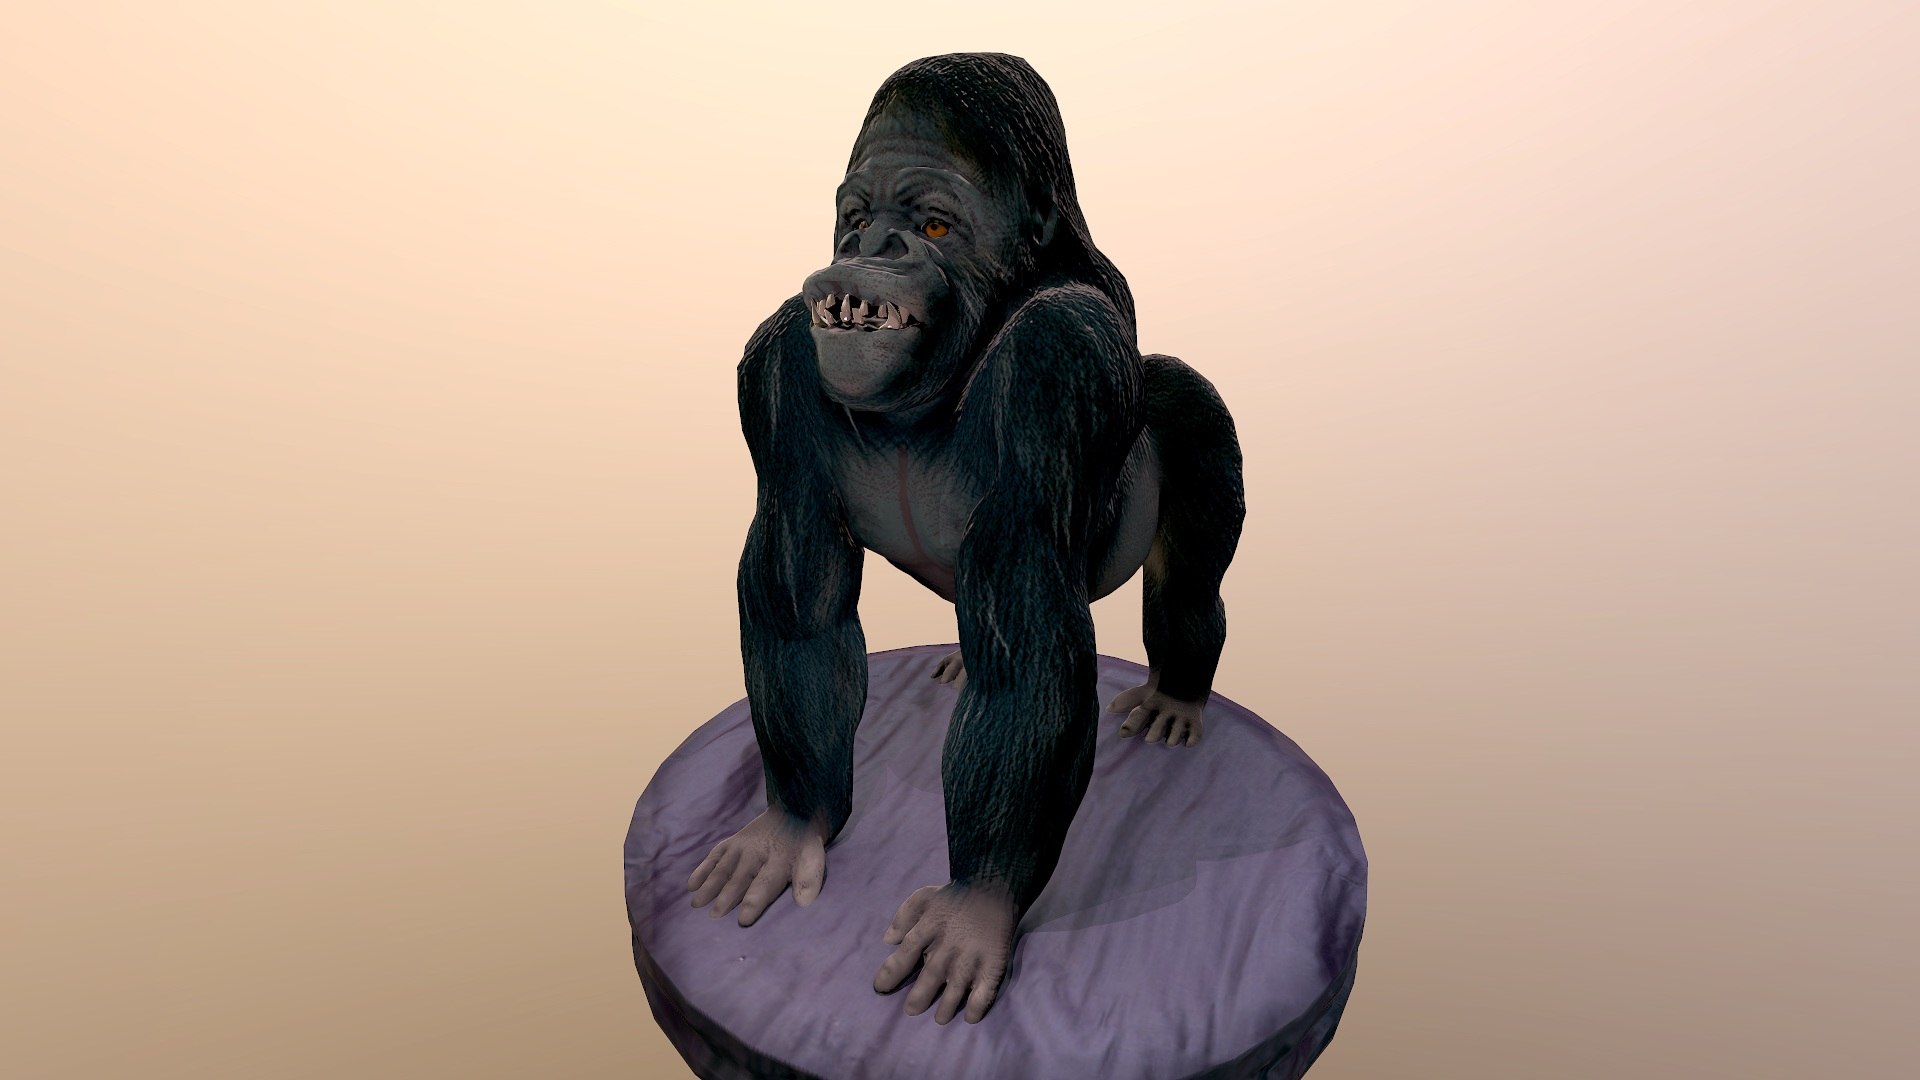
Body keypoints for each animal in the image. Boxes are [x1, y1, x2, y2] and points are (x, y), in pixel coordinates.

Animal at [687, 53, 1244, 1027]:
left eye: (933, 225)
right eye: (856, 218)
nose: (871, 253)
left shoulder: (1061, 361)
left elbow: (1028, 661)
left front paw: (977, 907)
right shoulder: (778, 371)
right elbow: (800, 615)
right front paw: (792, 826)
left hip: (1198, 417)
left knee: (1187, 583)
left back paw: (1178, 694)